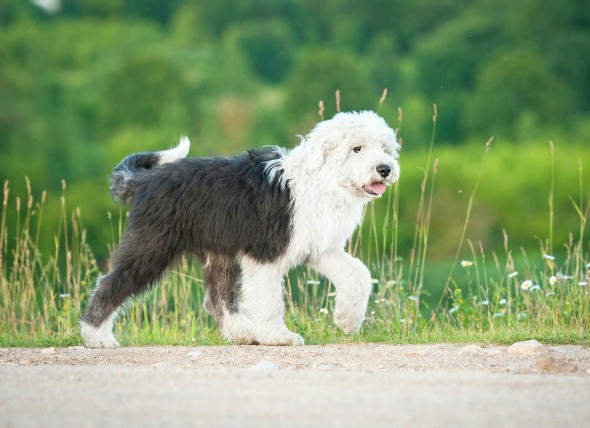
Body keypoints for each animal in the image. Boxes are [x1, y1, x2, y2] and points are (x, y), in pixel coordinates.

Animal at [80, 110, 402, 348]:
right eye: (356, 148)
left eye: (384, 148)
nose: (385, 168)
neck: (323, 180)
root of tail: (147, 181)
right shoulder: (266, 253)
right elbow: (269, 298)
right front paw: (278, 336)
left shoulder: (321, 247)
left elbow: (358, 273)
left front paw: (347, 320)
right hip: (151, 245)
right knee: (110, 283)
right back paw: (96, 336)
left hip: (219, 254)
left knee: (217, 298)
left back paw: (243, 333)